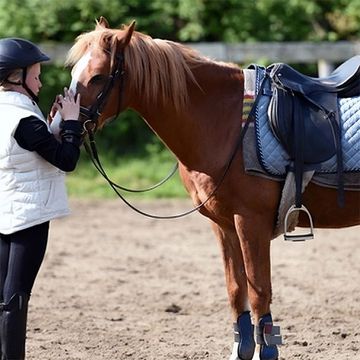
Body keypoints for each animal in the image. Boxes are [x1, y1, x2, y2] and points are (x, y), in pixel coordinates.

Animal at [64, 17, 360, 360]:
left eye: (98, 76)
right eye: (74, 72)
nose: (59, 125)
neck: (224, 123)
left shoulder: (250, 222)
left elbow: (259, 290)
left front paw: (267, 350)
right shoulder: (223, 224)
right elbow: (236, 289)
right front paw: (242, 349)